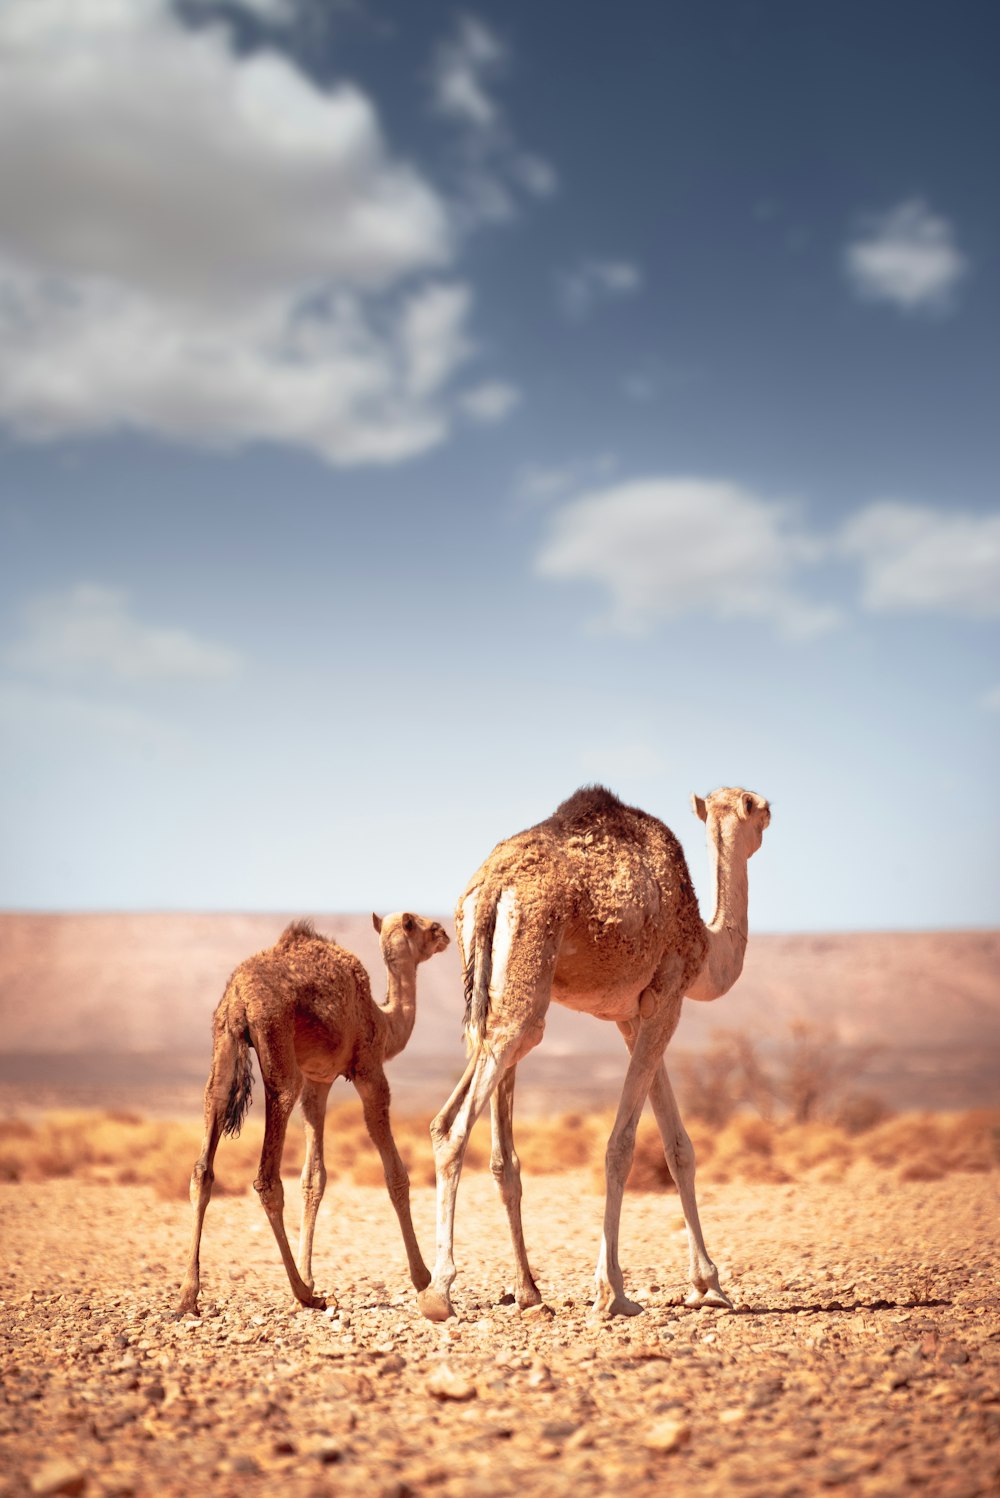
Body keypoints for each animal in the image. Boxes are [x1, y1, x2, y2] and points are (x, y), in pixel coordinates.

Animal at [177, 910, 446, 1312]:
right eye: (424, 925)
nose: (444, 933)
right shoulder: (368, 1070)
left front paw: (309, 1271)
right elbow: (395, 1174)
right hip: (277, 1047)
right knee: (266, 1178)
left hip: (222, 1043)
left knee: (203, 1164)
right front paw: (423, 1277)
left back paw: (188, 1296)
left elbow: (313, 1178)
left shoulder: (317, 1081)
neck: (384, 1021)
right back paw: (305, 1294)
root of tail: (239, 997)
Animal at [419, 784, 772, 1324]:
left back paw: (526, 1292)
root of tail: (492, 886)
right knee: (460, 1121)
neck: (704, 942)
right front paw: (613, 1293)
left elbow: (678, 1146)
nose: (772, 812)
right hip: (528, 985)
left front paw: (709, 1285)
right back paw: (440, 1293)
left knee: (466, 1124)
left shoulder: (634, 1017)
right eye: (757, 809)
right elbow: (621, 1146)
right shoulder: (667, 998)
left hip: (491, 987)